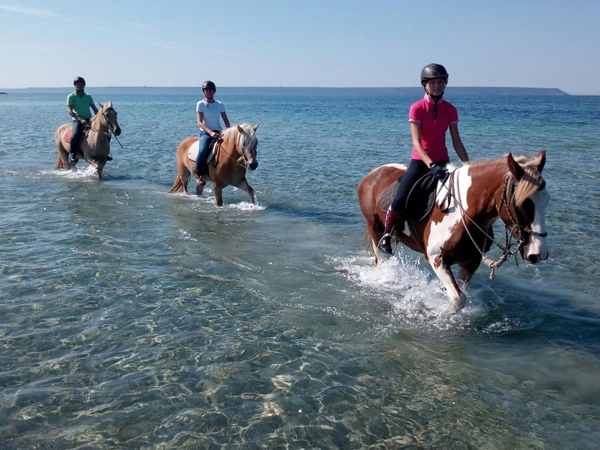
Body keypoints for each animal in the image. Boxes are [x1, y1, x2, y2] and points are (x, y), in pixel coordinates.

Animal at [358, 153, 552, 312]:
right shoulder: (436, 258)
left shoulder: (470, 262)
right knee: (382, 257)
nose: (538, 253)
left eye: (546, 200)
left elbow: (459, 292)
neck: (463, 212)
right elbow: (459, 299)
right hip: (375, 228)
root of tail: (373, 174)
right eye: (522, 203)